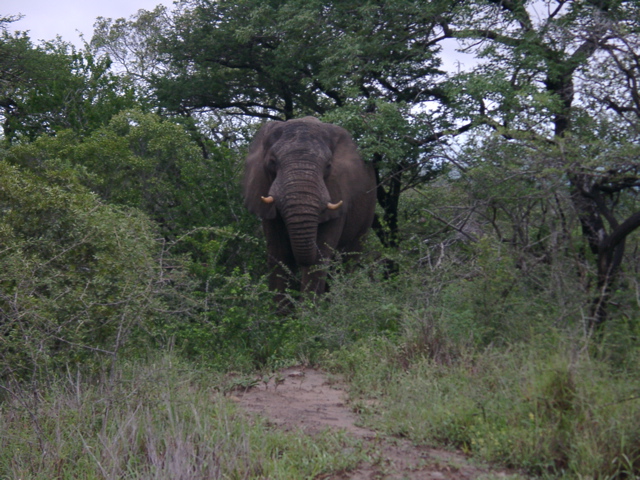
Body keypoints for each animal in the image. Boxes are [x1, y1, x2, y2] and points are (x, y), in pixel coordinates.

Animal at [243, 117, 376, 301]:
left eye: (328, 165)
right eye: (272, 162)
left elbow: (318, 260)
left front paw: (309, 309)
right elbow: (279, 255)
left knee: (348, 260)